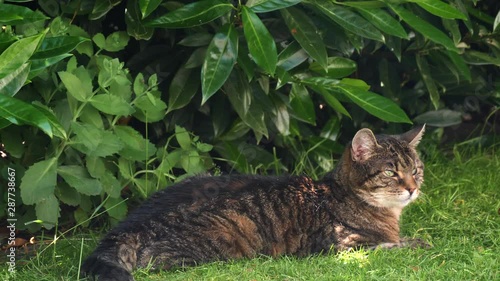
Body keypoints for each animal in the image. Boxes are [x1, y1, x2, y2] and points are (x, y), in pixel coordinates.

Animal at [82, 126, 430, 278]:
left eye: (416, 170)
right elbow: (392, 246)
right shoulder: (343, 247)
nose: (413, 188)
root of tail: (126, 227)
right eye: (390, 172)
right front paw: (418, 243)